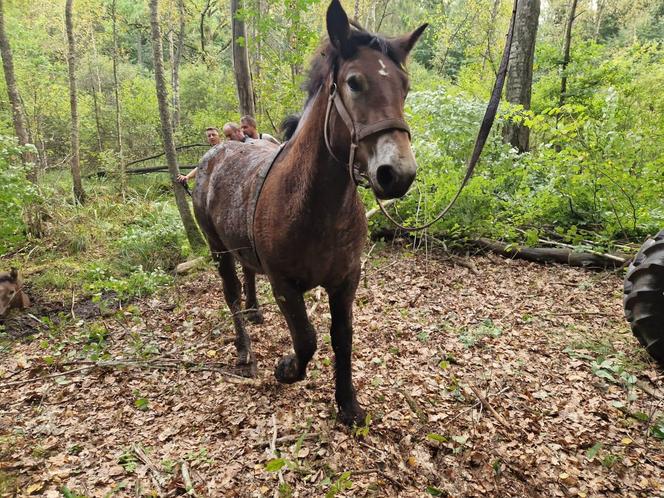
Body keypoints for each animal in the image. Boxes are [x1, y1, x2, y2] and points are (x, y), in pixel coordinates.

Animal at [193, 0, 426, 426]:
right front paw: (287, 369)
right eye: (354, 82)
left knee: (247, 274)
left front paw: (348, 404)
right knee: (230, 294)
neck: (312, 207)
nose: (397, 173)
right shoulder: (285, 285)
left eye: (404, 86)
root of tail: (214, 155)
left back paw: (254, 312)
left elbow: (341, 338)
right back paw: (244, 348)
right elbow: (306, 339)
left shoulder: (346, 281)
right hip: (217, 248)